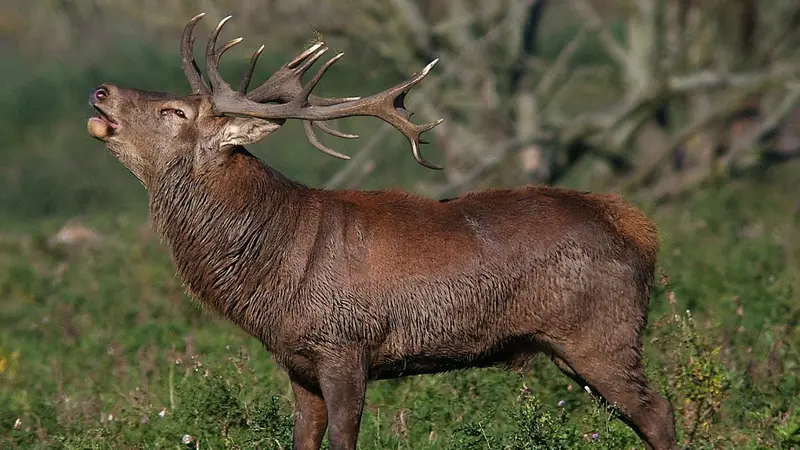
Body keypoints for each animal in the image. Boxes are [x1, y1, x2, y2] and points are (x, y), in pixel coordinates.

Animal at [86, 13, 677, 450]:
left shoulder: (346, 346)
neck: (271, 269)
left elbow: (345, 439)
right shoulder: (298, 364)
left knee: (660, 412)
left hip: (602, 333)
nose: (101, 90)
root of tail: (641, 227)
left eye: (175, 111)